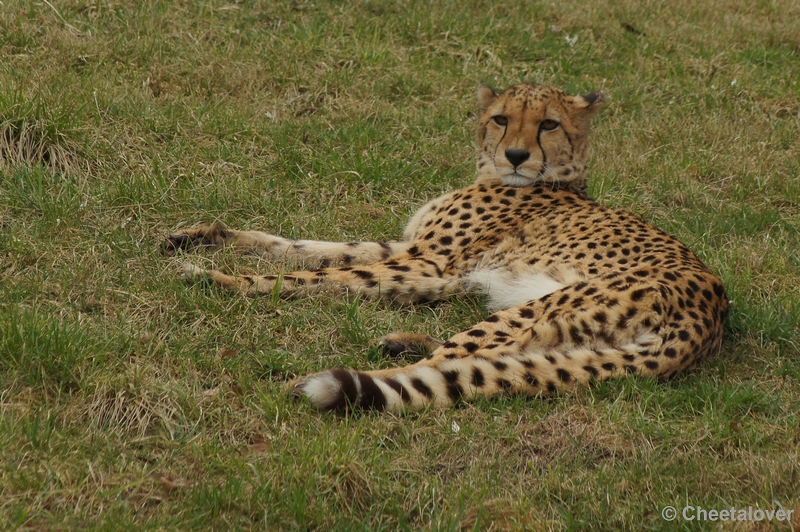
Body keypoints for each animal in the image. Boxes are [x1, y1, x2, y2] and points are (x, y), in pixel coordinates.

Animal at [166, 85, 728, 414]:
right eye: (501, 119)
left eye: (548, 124)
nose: (516, 154)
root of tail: (712, 315)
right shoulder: (414, 253)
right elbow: (310, 249)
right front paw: (204, 237)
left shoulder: (428, 262)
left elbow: (315, 275)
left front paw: (215, 278)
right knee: (480, 359)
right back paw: (403, 342)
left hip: (544, 306)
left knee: (462, 361)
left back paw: (303, 384)